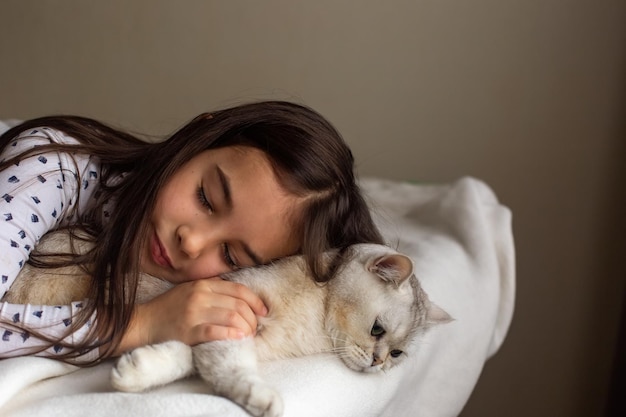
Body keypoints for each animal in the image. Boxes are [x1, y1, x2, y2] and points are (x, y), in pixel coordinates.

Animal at [3, 231, 448, 416]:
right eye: (377, 330)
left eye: (398, 353)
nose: (378, 363)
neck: (314, 328)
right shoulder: (231, 319)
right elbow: (230, 369)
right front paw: (263, 398)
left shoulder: (223, 334)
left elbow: (189, 359)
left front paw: (137, 371)